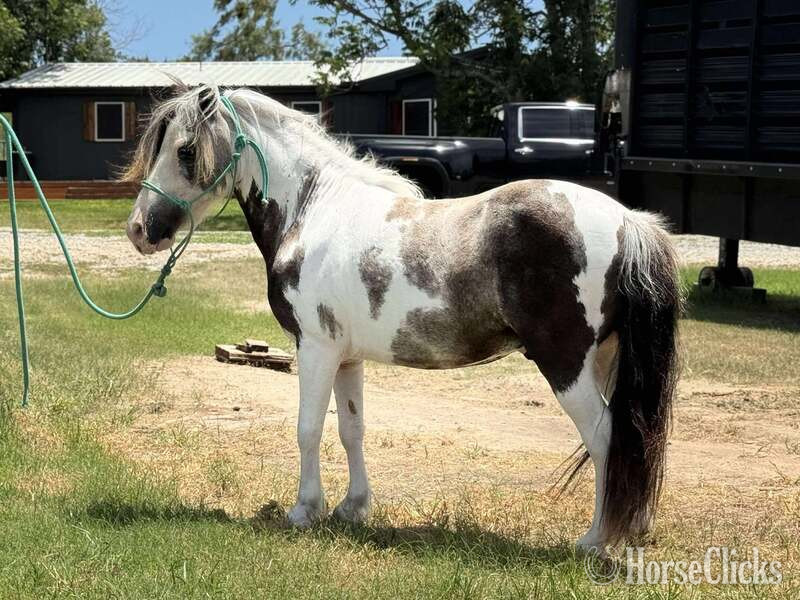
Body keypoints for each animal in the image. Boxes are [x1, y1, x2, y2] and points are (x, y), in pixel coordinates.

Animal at [123, 84, 681, 552]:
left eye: (185, 151)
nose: (139, 230)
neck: (313, 209)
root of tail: (629, 222)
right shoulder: (346, 357)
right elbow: (351, 429)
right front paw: (352, 509)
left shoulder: (316, 348)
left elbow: (307, 427)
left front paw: (304, 510)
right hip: (605, 359)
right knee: (633, 439)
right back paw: (633, 528)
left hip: (566, 363)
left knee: (606, 437)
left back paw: (596, 542)